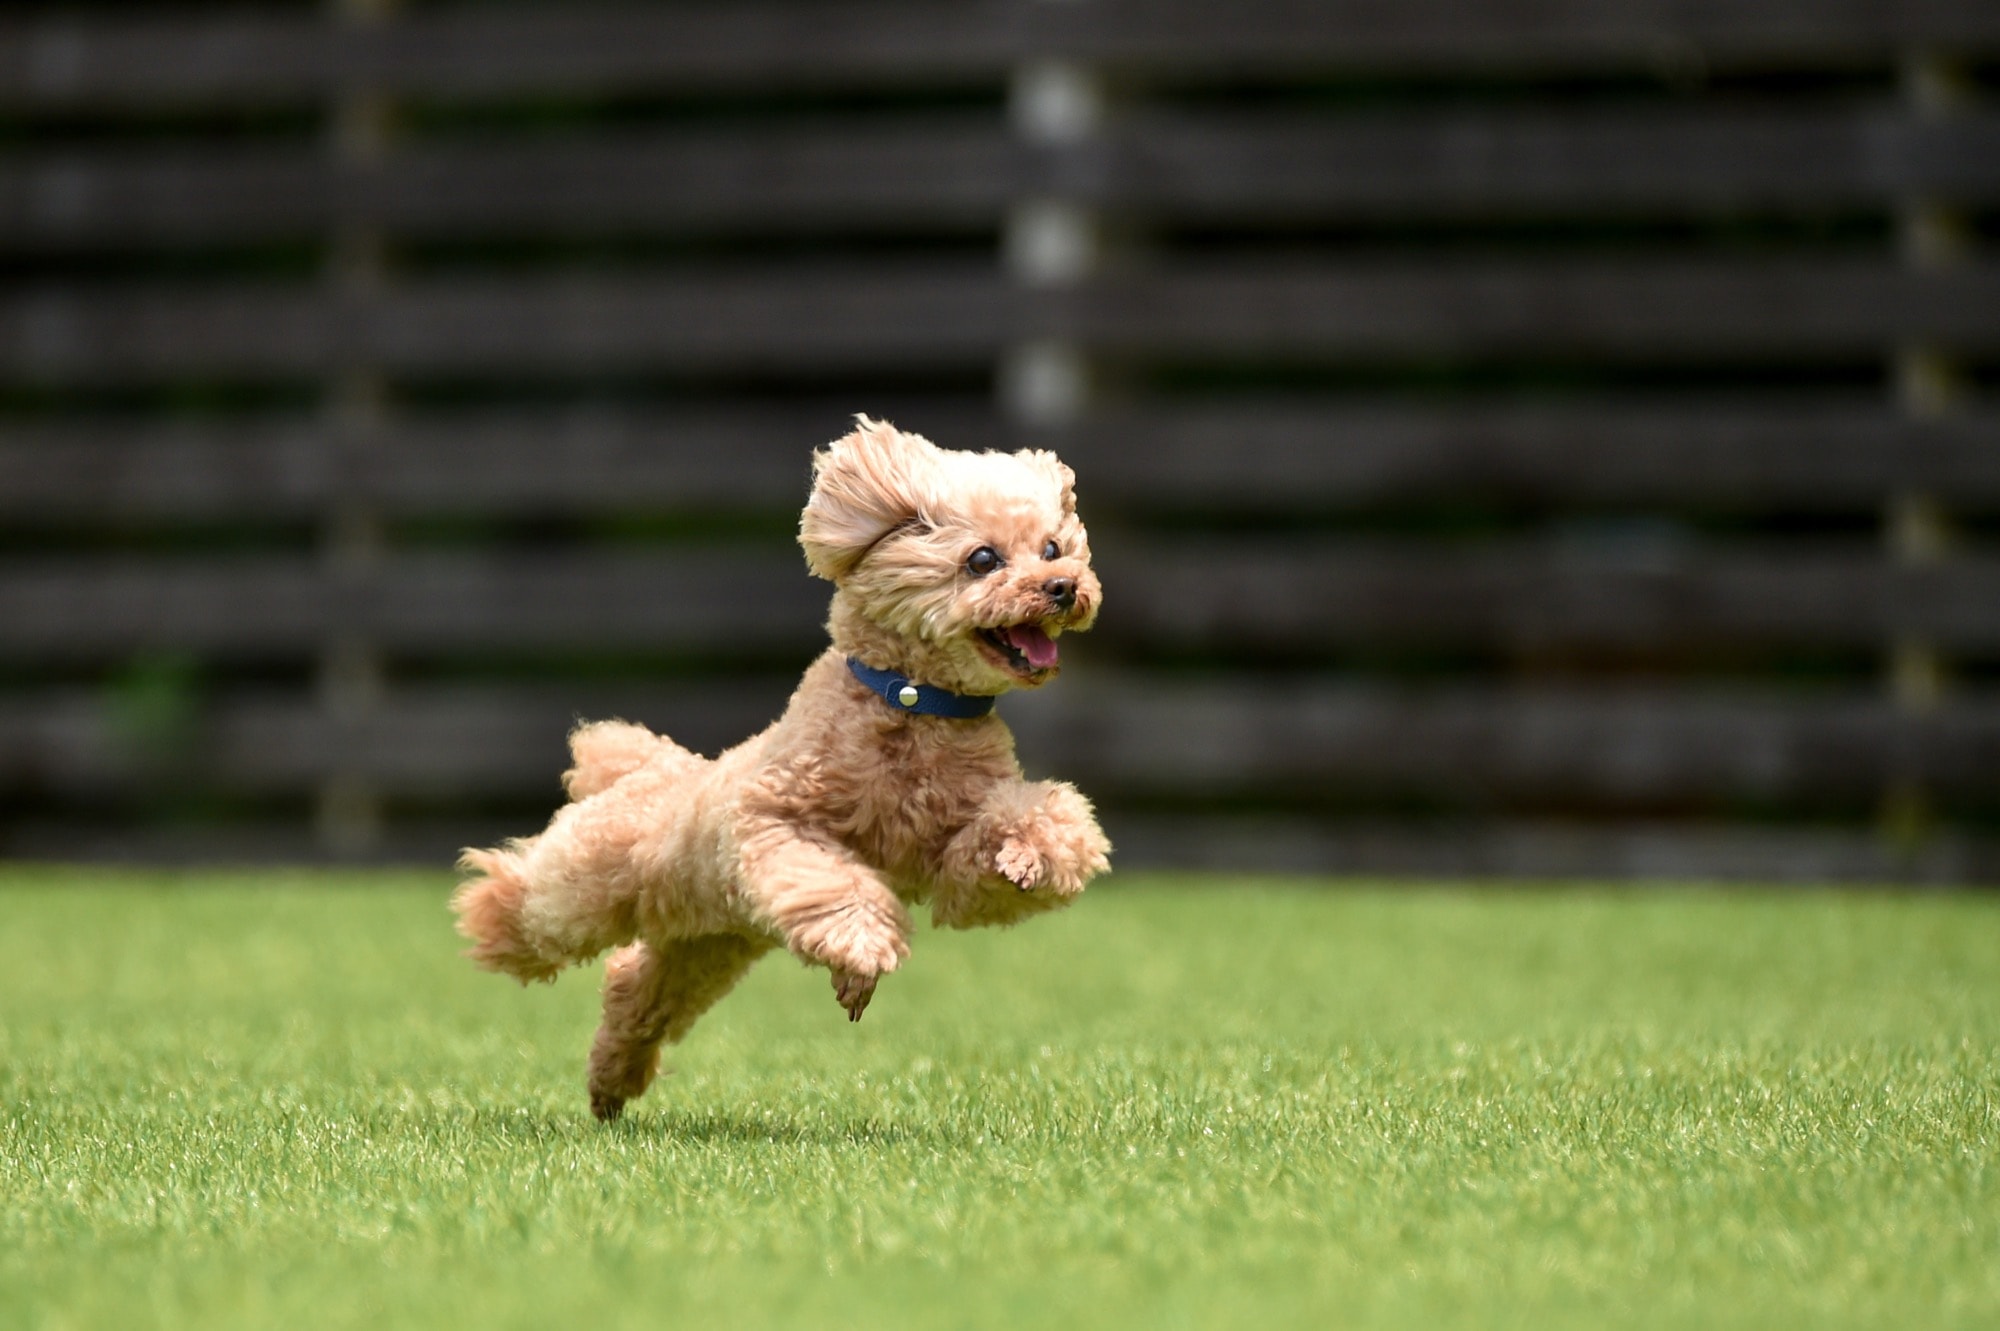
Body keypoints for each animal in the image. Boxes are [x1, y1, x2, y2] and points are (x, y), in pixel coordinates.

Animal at [452, 417, 1112, 1119]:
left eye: (1053, 547)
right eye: (983, 560)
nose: (1064, 587)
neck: (910, 705)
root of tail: (656, 767)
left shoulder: (952, 847)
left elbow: (1018, 837)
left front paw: (1025, 856)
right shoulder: (775, 822)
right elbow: (839, 886)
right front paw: (864, 955)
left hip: (706, 947)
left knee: (636, 988)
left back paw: (611, 1086)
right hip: (588, 885)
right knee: (530, 903)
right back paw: (485, 914)